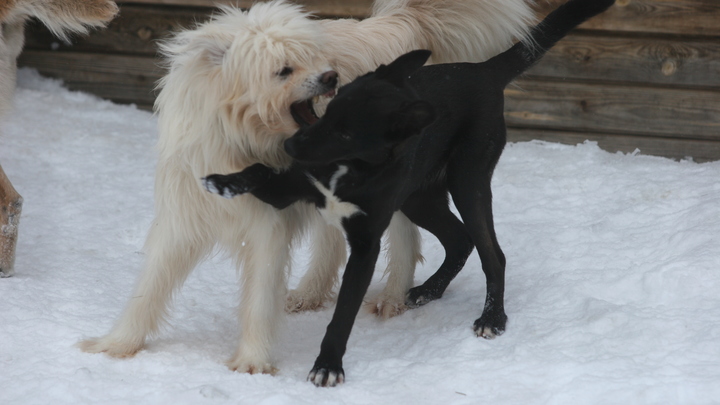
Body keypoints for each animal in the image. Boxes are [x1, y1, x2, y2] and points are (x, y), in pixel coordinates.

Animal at [80, 0, 540, 374]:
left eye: (315, 59)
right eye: (284, 69)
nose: (331, 76)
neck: (236, 137)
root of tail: (395, 24)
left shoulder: (267, 226)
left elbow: (260, 296)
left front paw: (252, 361)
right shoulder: (183, 215)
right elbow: (150, 286)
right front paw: (117, 345)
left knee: (409, 239)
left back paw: (394, 295)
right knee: (336, 244)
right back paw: (311, 292)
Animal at [201, 0, 612, 386]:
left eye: (346, 132)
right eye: (329, 110)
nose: (291, 146)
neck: (349, 170)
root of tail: (483, 70)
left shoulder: (365, 245)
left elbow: (343, 313)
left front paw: (328, 366)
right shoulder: (292, 187)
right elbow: (258, 172)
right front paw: (222, 181)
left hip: (469, 183)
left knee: (492, 253)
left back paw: (492, 317)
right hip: (419, 198)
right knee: (459, 239)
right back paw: (427, 290)